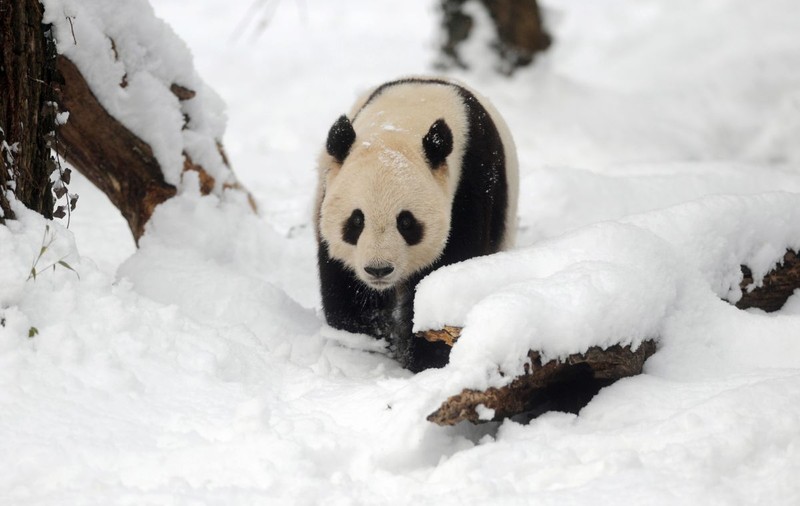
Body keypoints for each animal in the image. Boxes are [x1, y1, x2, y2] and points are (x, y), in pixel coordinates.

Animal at [315, 77, 519, 371]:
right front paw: (366, 342)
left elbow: (445, 276)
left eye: (406, 222)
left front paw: (428, 356)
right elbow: (345, 283)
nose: (378, 269)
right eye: (356, 220)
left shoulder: (471, 188)